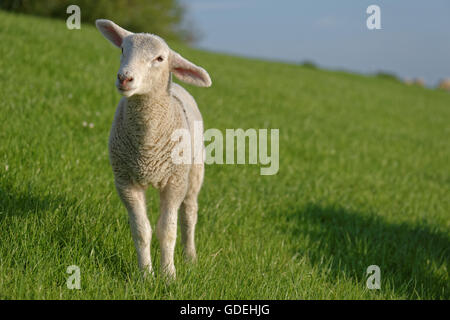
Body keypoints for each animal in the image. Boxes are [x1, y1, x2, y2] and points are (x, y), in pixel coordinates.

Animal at [96, 18, 212, 278]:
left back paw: (190, 257)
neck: (147, 145)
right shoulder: (125, 182)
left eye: (159, 58)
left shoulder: (174, 183)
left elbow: (167, 231)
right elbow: (142, 231)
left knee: (189, 214)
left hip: (194, 171)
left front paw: (168, 275)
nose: (124, 78)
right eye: (122, 49)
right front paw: (146, 275)